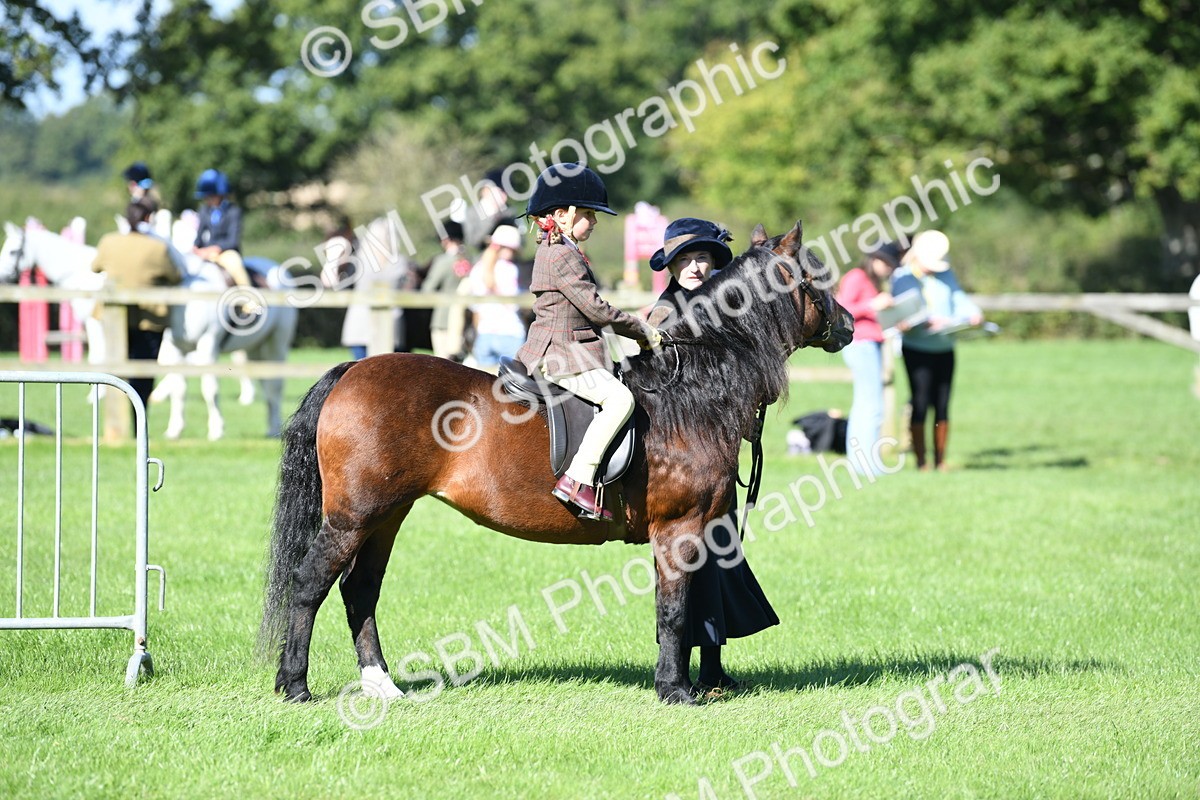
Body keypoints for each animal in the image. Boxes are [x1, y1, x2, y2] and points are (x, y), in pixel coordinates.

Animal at [0, 222, 298, 439]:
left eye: (13, 251)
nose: (3, 278)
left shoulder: (207, 344)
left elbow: (209, 387)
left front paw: (216, 429)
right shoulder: (177, 347)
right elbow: (179, 387)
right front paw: (175, 429)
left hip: (276, 343)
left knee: (275, 384)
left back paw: (273, 428)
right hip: (255, 346)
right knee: (261, 379)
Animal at [258, 221, 854, 705]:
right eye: (815, 277)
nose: (849, 324)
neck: (689, 392)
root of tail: (353, 371)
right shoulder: (678, 530)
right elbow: (674, 613)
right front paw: (675, 690)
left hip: (387, 514)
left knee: (360, 590)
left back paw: (381, 685)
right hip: (354, 515)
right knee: (310, 583)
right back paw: (295, 686)